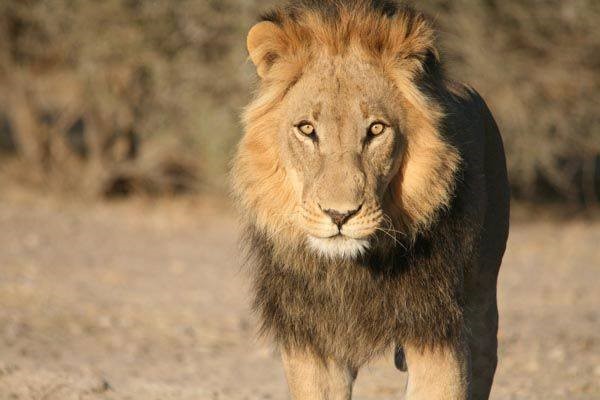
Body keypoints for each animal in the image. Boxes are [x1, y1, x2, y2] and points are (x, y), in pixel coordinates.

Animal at [232, 1, 508, 398]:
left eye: (376, 129)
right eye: (306, 129)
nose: (339, 215)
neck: (353, 271)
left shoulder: (438, 332)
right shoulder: (314, 342)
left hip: (483, 295)